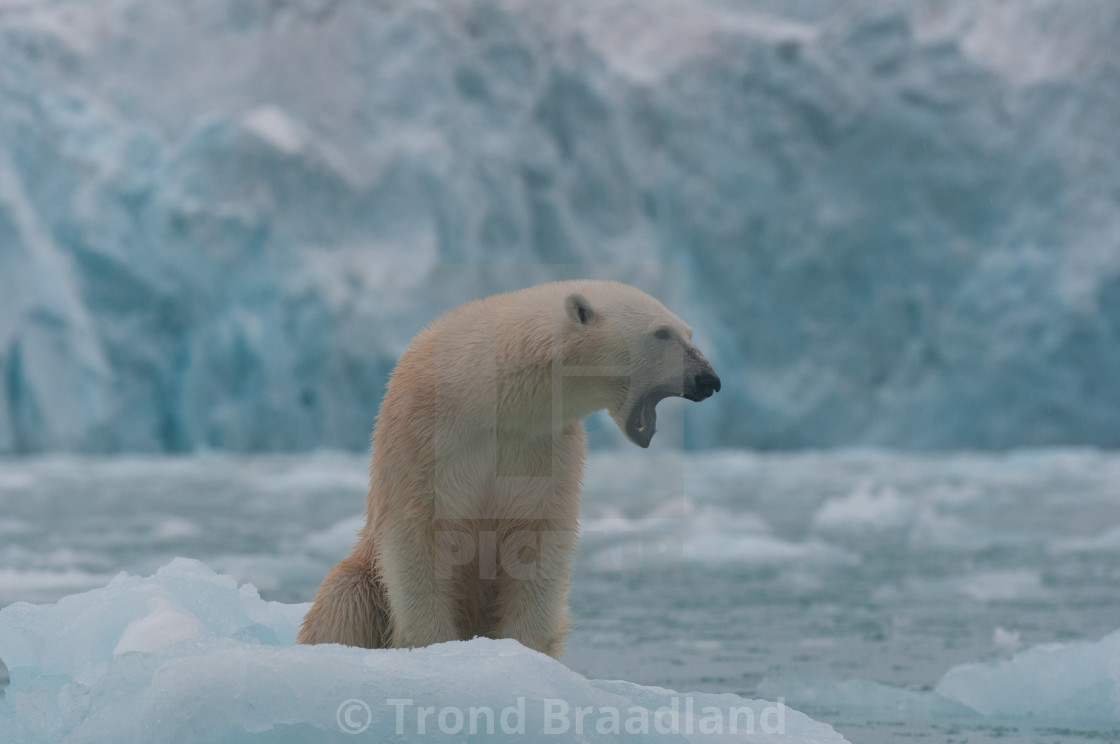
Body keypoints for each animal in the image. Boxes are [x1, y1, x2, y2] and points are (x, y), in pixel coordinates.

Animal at [297, 279, 716, 658]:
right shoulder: (420, 436)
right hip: (362, 573)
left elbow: (539, 543)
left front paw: (521, 651)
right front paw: (434, 646)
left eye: (689, 332)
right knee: (344, 601)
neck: (487, 397)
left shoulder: (546, 448)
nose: (709, 380)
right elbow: (415, 537)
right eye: (661, 333)